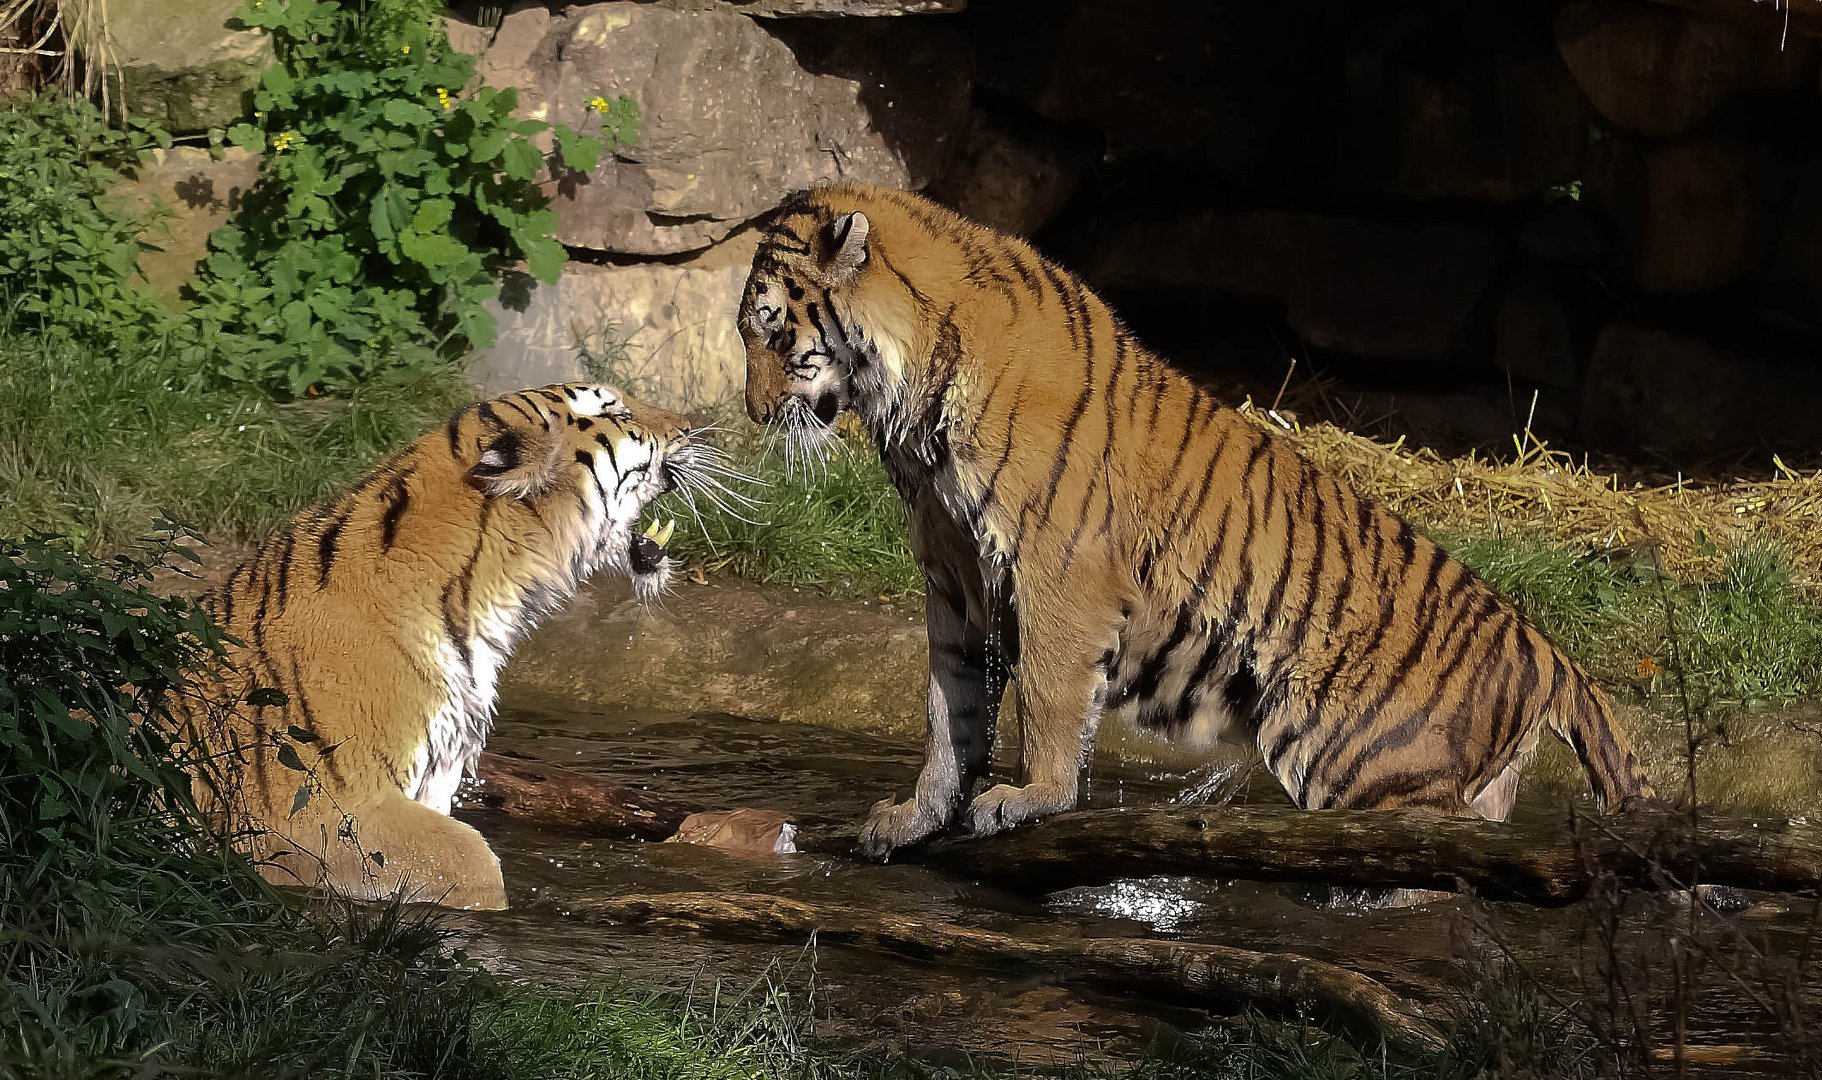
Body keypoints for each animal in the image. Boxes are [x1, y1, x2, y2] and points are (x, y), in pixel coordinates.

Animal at [736, 185, 1654, 859]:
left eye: (774, 332)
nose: (751, 413)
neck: (908, 410)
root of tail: (1550, 655)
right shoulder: (957, 584)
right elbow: (947, 710)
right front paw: (916, 817)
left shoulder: (1057, 571)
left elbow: (1047, 695)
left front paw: (1030, 798)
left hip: (1362, 759)